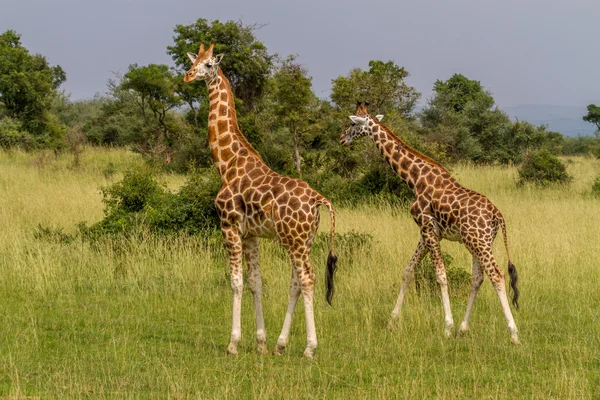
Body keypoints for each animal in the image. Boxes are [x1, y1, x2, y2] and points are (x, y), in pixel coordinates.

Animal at [183, 42, 338, 358]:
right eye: (194, 60)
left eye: (208, 65)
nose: (188, 76)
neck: (227, 163)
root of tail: (319, 200)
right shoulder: (251, 234)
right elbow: (256, 282)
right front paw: (261, 342)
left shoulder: (228, 225)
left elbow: (236, 282)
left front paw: (233, 343)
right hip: (304, 240)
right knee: (296, 281)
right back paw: (281, 344)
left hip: (294, 240)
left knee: (308, 278)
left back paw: (309, 348)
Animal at [342, 102, 520, 344]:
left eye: (352, 123)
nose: (342, 139)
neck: (415, 178)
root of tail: (497, 215)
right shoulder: (427, 233)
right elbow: (408, 271)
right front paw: (392, 321)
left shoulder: (428, 229)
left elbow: (441, 276)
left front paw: (447, 327)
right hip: (478, 242)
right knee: (478, 278)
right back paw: (464, 328)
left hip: (479, 242)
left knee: (497, 275)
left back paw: (513, 334)